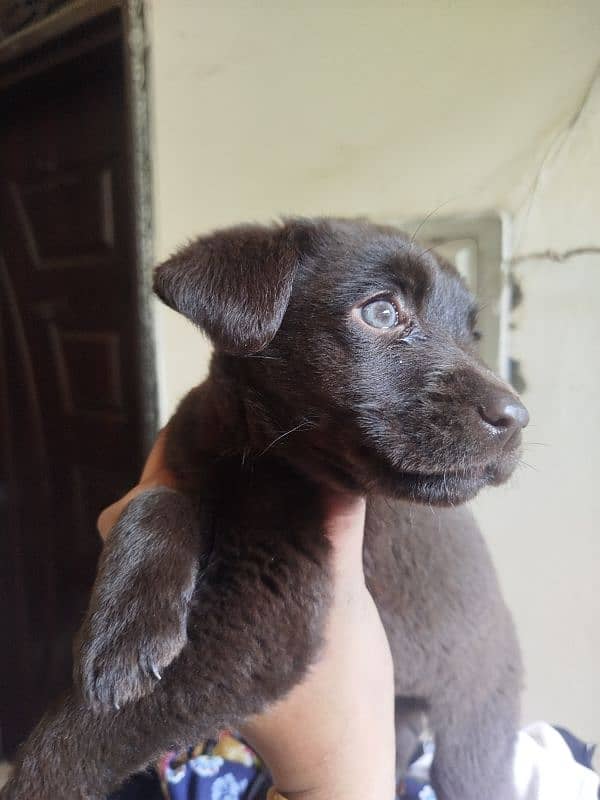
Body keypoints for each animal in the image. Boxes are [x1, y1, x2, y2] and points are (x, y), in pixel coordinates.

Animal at [2, 219, 528, 800]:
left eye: (472, 335)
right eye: (381, 312)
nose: (517, 417)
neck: (256, 452)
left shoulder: (266, 616)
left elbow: (81, 741)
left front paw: (37, 779)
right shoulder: (184, 456)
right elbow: (156, 501)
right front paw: (125, 628)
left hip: (473, 729)